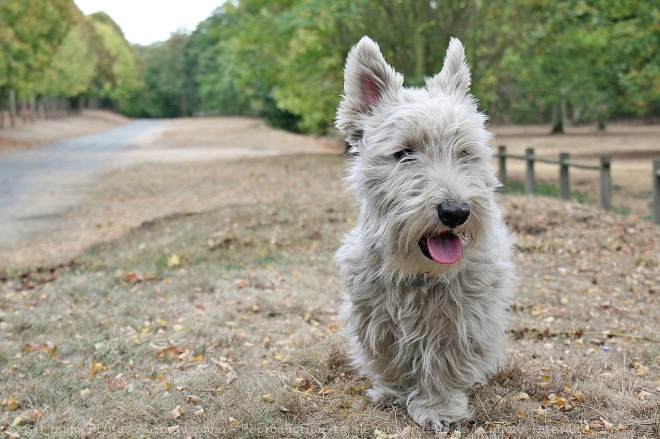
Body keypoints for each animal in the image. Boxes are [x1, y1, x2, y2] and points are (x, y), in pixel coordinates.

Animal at [336, 37, 516, 434]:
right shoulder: (373, 310)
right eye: (404, 153)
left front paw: (438, 407)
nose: (456, 212)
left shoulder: (460, 317)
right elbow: (387, 352)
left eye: (465, 152)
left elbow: (443, 362)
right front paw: (392, 390)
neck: (416, 269)